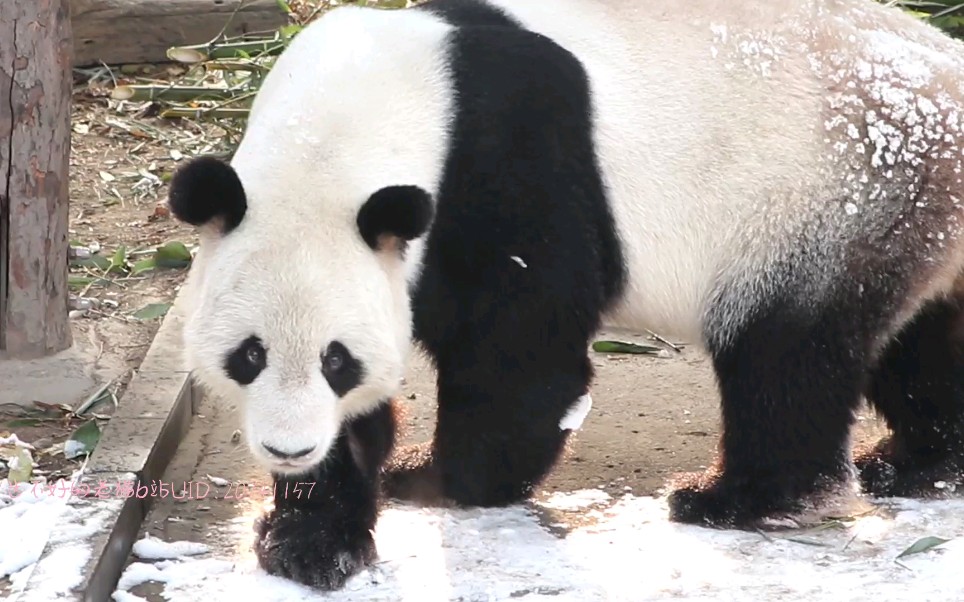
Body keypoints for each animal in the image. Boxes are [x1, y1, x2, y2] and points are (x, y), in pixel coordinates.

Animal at [166, 0, 964, 592]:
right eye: (248, 356)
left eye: (336, 360)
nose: (288, 448)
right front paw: (309, 538)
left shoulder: (508, 170)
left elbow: (524, 357)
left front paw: (436, 478)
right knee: (919, 344)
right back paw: (917, 462)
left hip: (826, 199)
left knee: (784, 354)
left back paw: (740, 499)